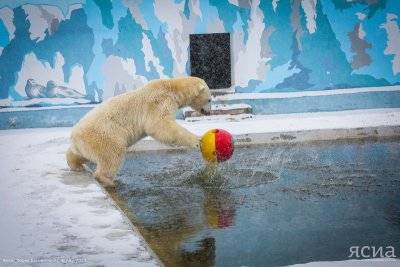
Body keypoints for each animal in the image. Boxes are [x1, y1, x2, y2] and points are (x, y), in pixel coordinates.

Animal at [65, 76, 211, 187]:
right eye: (209, 99)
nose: (208, 112)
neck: (172, 87)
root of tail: (74, 138)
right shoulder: (159, 101)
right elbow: (159, 125)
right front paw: (197, 141)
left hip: (86, 145)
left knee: (79, 155)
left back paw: (75, 165)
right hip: (104, 137)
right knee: (113, 155)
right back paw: (109, 181)